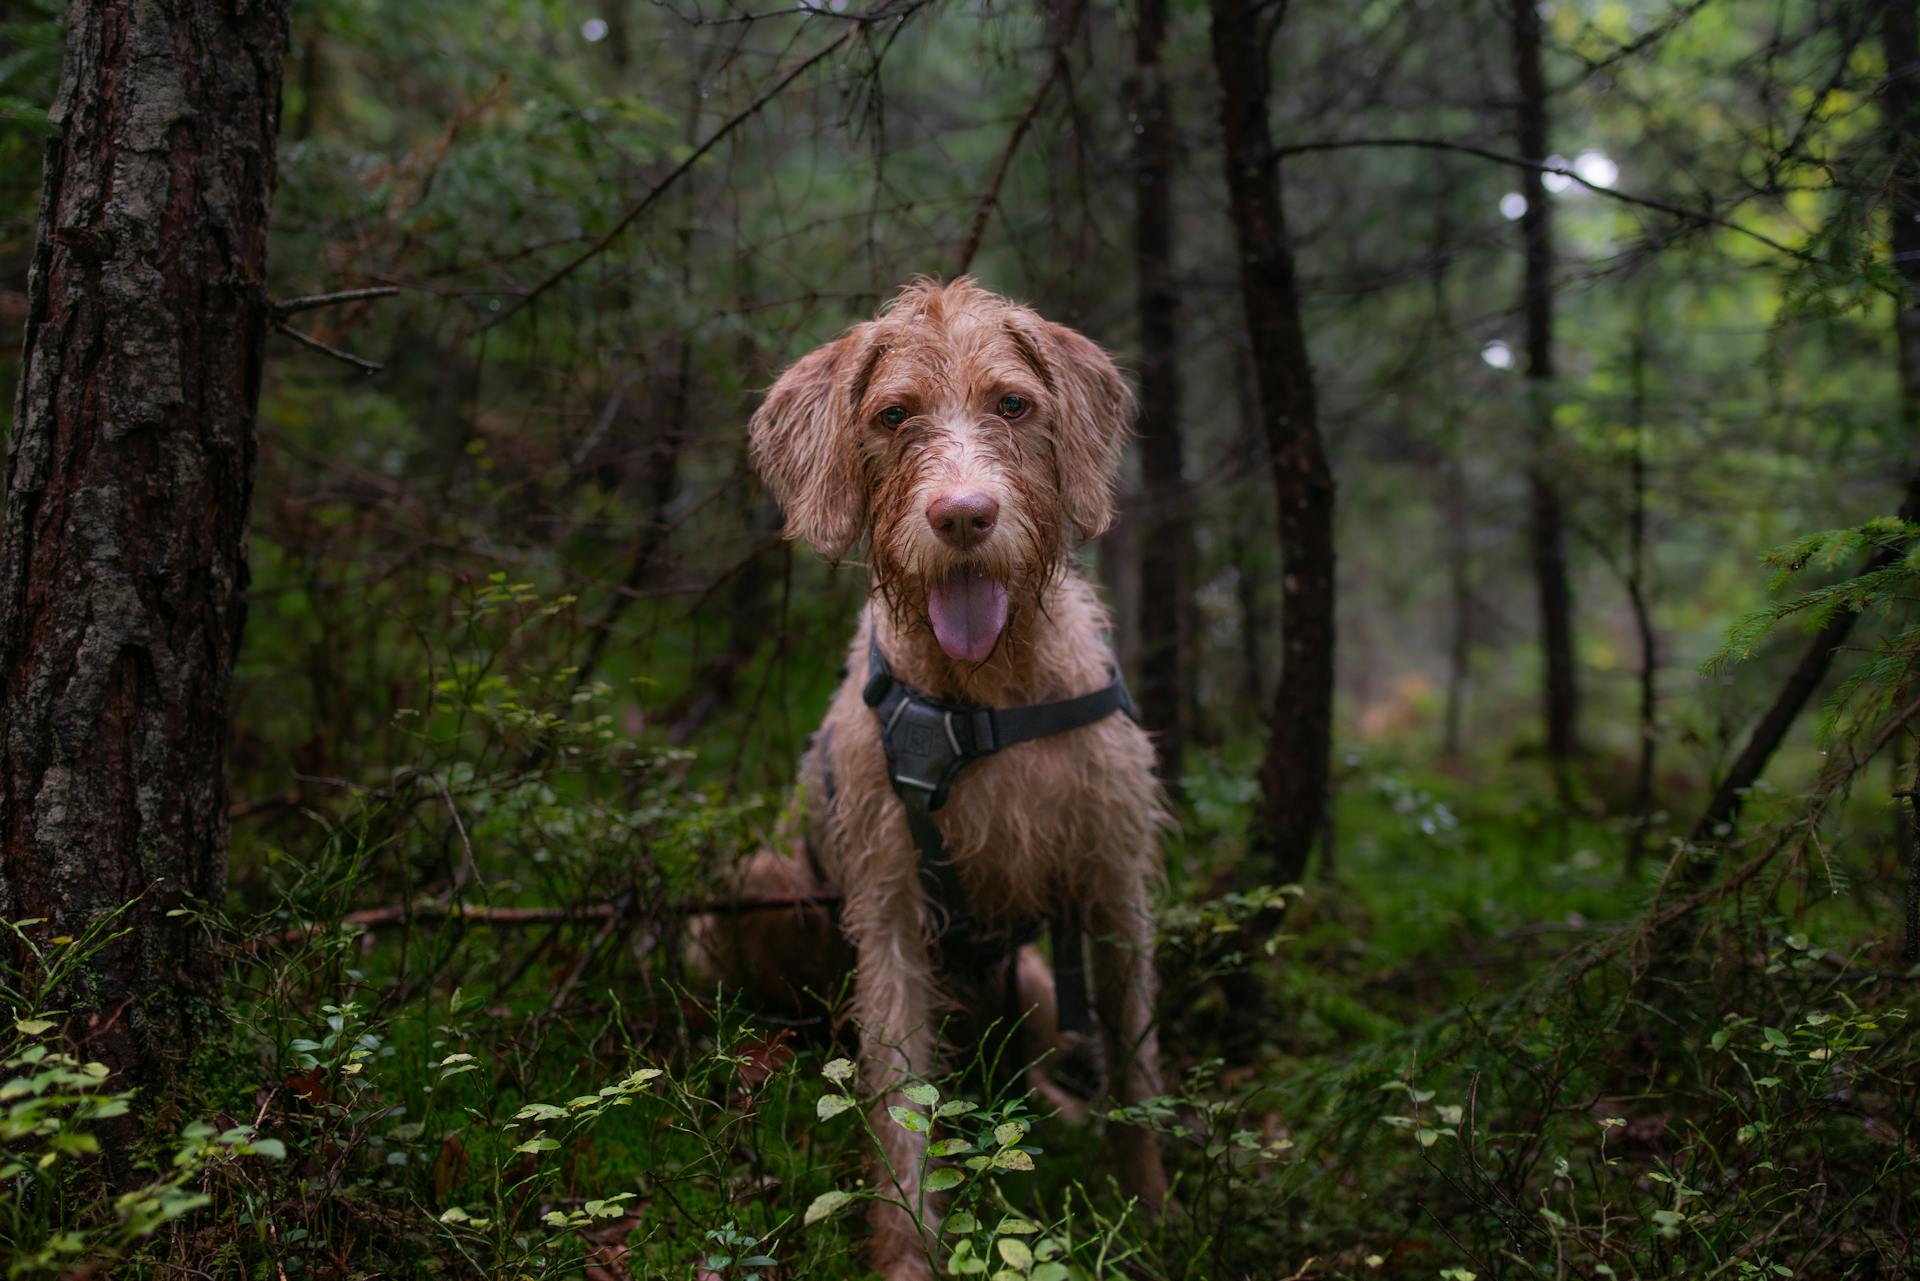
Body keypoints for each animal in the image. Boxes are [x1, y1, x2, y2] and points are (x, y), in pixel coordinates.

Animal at [698, 280, 1159, 1281]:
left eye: (1014, 405)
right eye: (893, 415)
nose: (963, 517)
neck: (984, 692)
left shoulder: (1113, 886)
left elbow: (1138, 1070)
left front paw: (1160, 1219)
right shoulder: (892, 914)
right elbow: (898, 1107)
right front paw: (909, 1254)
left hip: (1036, 980)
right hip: (754, 893)